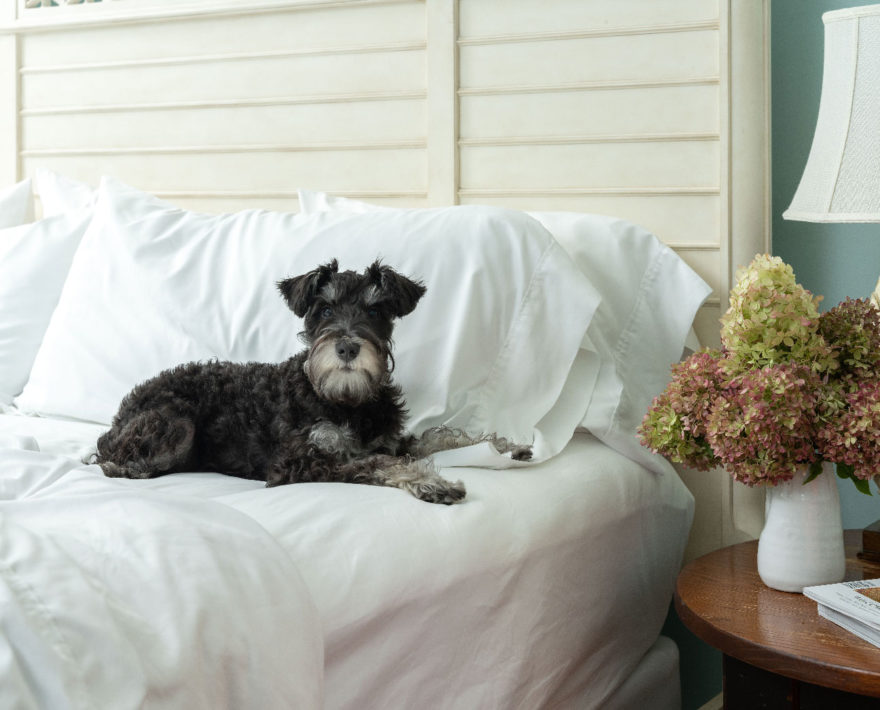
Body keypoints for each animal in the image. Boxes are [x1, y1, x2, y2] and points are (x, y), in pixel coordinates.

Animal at [97, 262, 536, 506]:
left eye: (375, 311)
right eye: (324, 309)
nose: (347, 347)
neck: (346, 400)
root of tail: (120, 413)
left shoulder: (390, 439)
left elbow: (440, 436)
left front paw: (505, 447)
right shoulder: (300, 461)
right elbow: (377, 463)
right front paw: (431, 481)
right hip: (176, 425)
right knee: (114, 462)